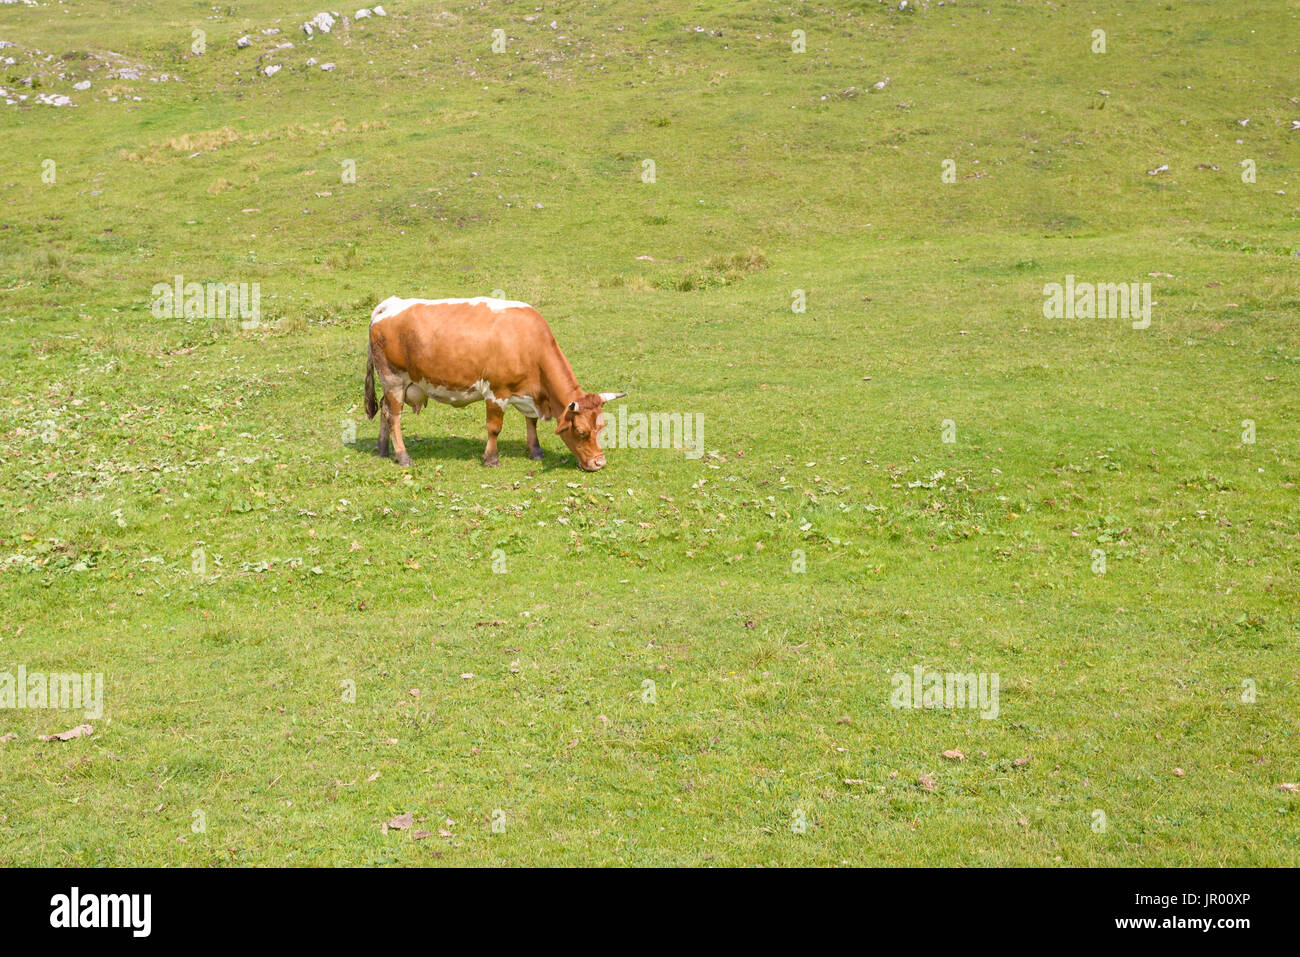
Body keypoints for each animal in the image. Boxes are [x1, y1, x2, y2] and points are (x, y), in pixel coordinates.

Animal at [364, 296, 625, 470]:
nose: (599, 462)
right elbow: (494, 428)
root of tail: (389, 304)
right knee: (394, 417)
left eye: (602, 426)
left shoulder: (527, 393)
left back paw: (383, 450)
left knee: (384, 410)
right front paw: (491, 459)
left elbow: (531, 421)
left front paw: (536, 451)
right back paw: (403, 456)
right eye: (580, 432)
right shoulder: (496, 392)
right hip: (394, 381)